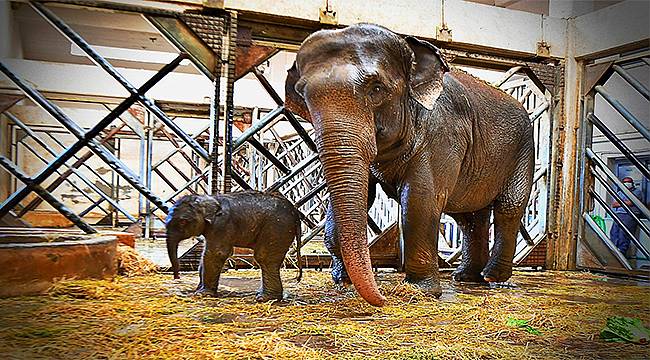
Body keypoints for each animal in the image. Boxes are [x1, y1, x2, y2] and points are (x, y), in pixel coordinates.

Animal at [165, 191, 302, 300]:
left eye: (183, 222)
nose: (177, 277)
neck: (209, 198)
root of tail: (296, 214)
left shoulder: (221, 225)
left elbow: (215, 253)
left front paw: (201, 294)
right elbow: (205, 254)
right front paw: (199, 290)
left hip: (277, 228)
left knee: (264, 258)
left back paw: (264, 298)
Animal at [284, 23, 532, 306]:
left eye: (376, 89)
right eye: (302, 95)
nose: (383, 298)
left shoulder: (443, 131)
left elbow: (420, 198)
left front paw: (420, 291)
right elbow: (360, 195)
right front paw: (341, 281)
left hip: (524, 148)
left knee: (508, 207)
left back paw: (493, 277)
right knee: (468, 217)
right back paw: (466, 278)